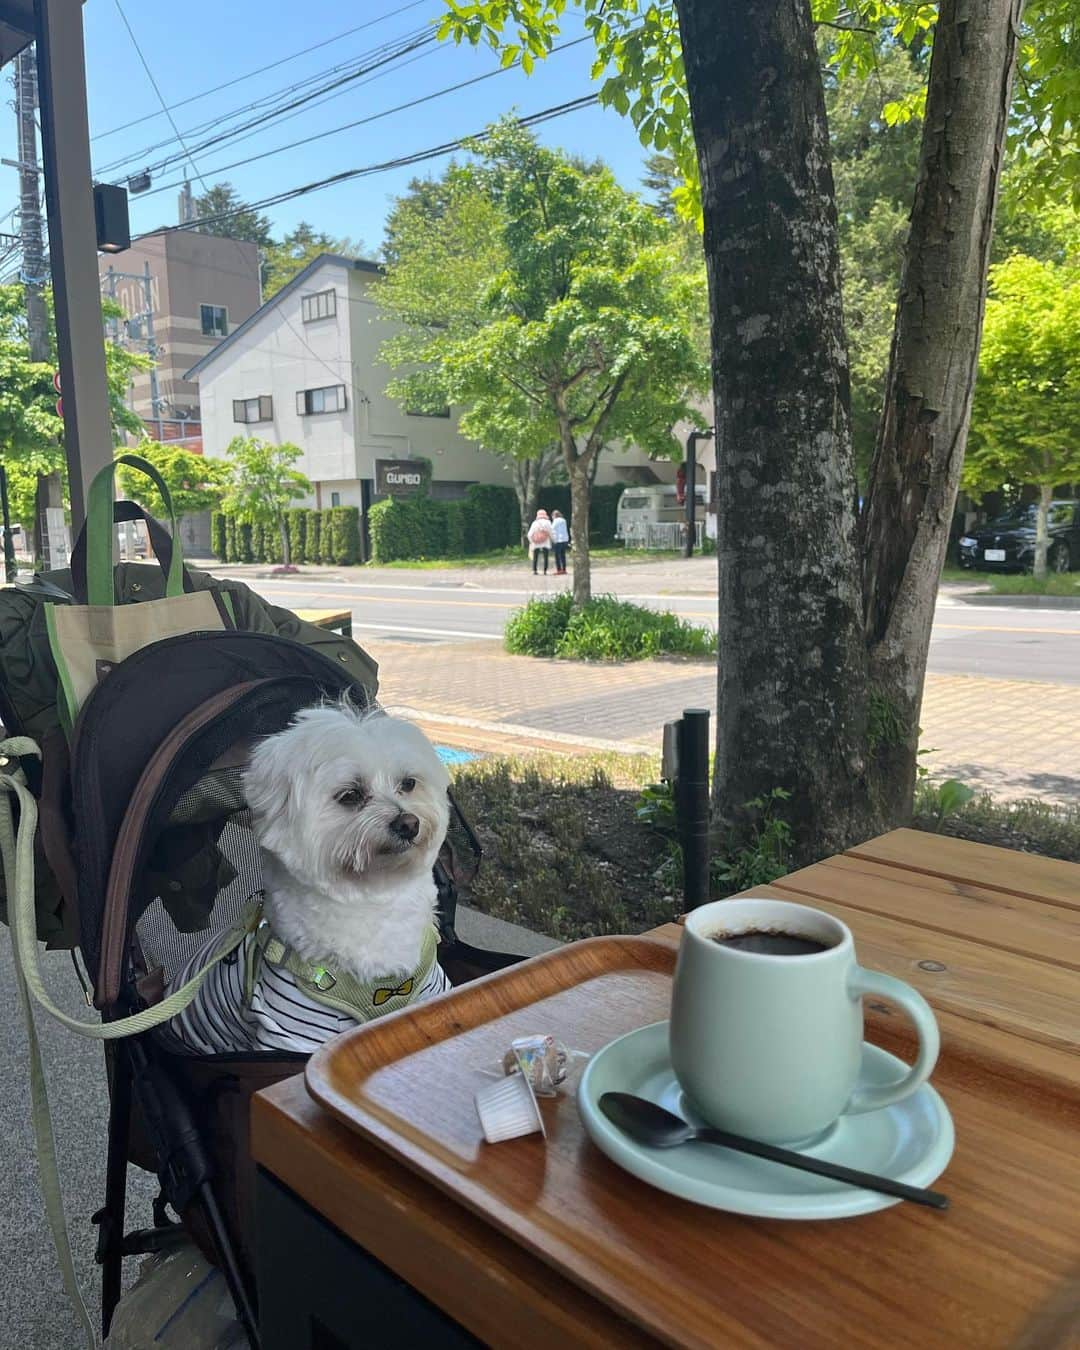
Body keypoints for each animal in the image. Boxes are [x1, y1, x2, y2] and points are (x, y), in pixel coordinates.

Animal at [167, 707, 450, 1053]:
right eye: (350, 795)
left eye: (408, 783)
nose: (409, 823)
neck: (372, 898)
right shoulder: (293, 1028)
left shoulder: (433, 989)